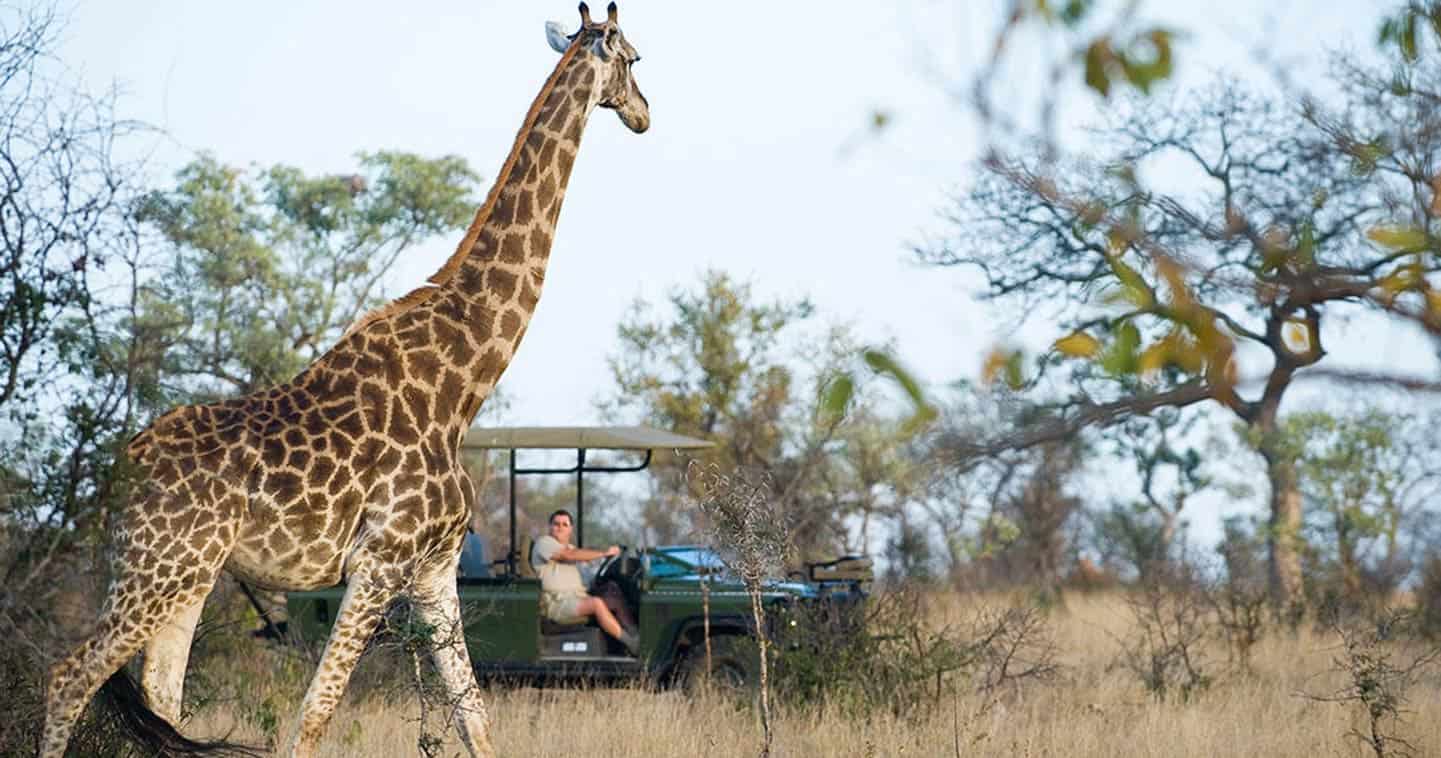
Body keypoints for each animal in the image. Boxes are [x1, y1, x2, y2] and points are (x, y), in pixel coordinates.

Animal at [40, 4, 647, 756]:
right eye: (636, 59)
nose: (644, 114)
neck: (463, 380)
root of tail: (119, 469)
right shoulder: (378, 561)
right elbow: (315, 712)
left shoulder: (433, 569)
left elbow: (475, 718)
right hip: (157, 569)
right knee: (68, 677)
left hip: (186, 575)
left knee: (160, 695)